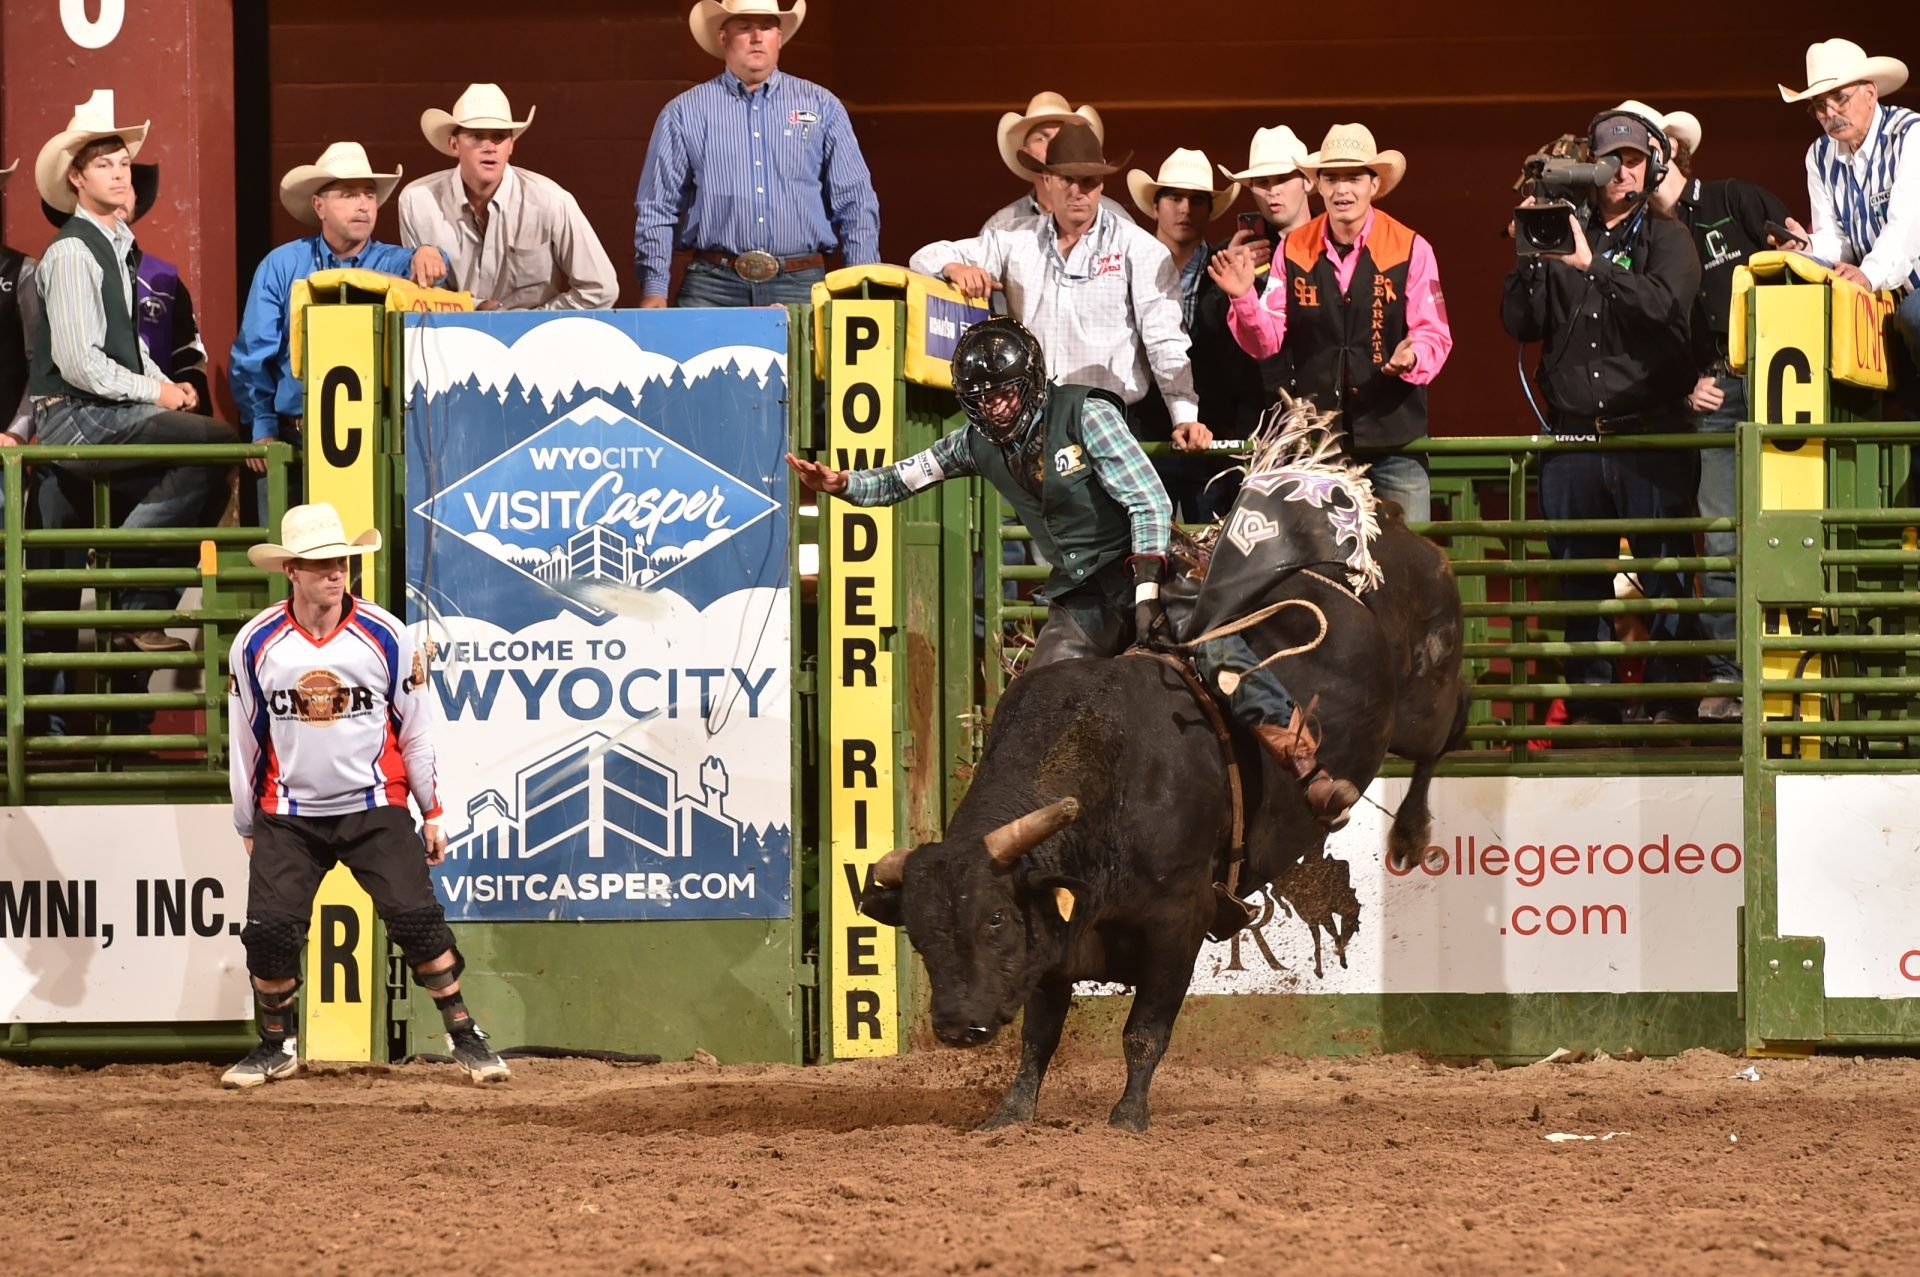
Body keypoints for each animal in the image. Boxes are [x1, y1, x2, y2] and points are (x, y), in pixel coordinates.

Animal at [860, 506, 1466, 1129]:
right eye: (919, 932)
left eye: (996, 919)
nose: (958, 1027)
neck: (1112, 777)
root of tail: (1387, 537)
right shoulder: (1059, 937)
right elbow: (1039, 1036)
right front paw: (1011, 1112)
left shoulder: (1179, 923)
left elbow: (1144, 1032)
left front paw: (1128, 1115)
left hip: (1421, 702)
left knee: (1446, 730)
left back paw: (1410, 832)